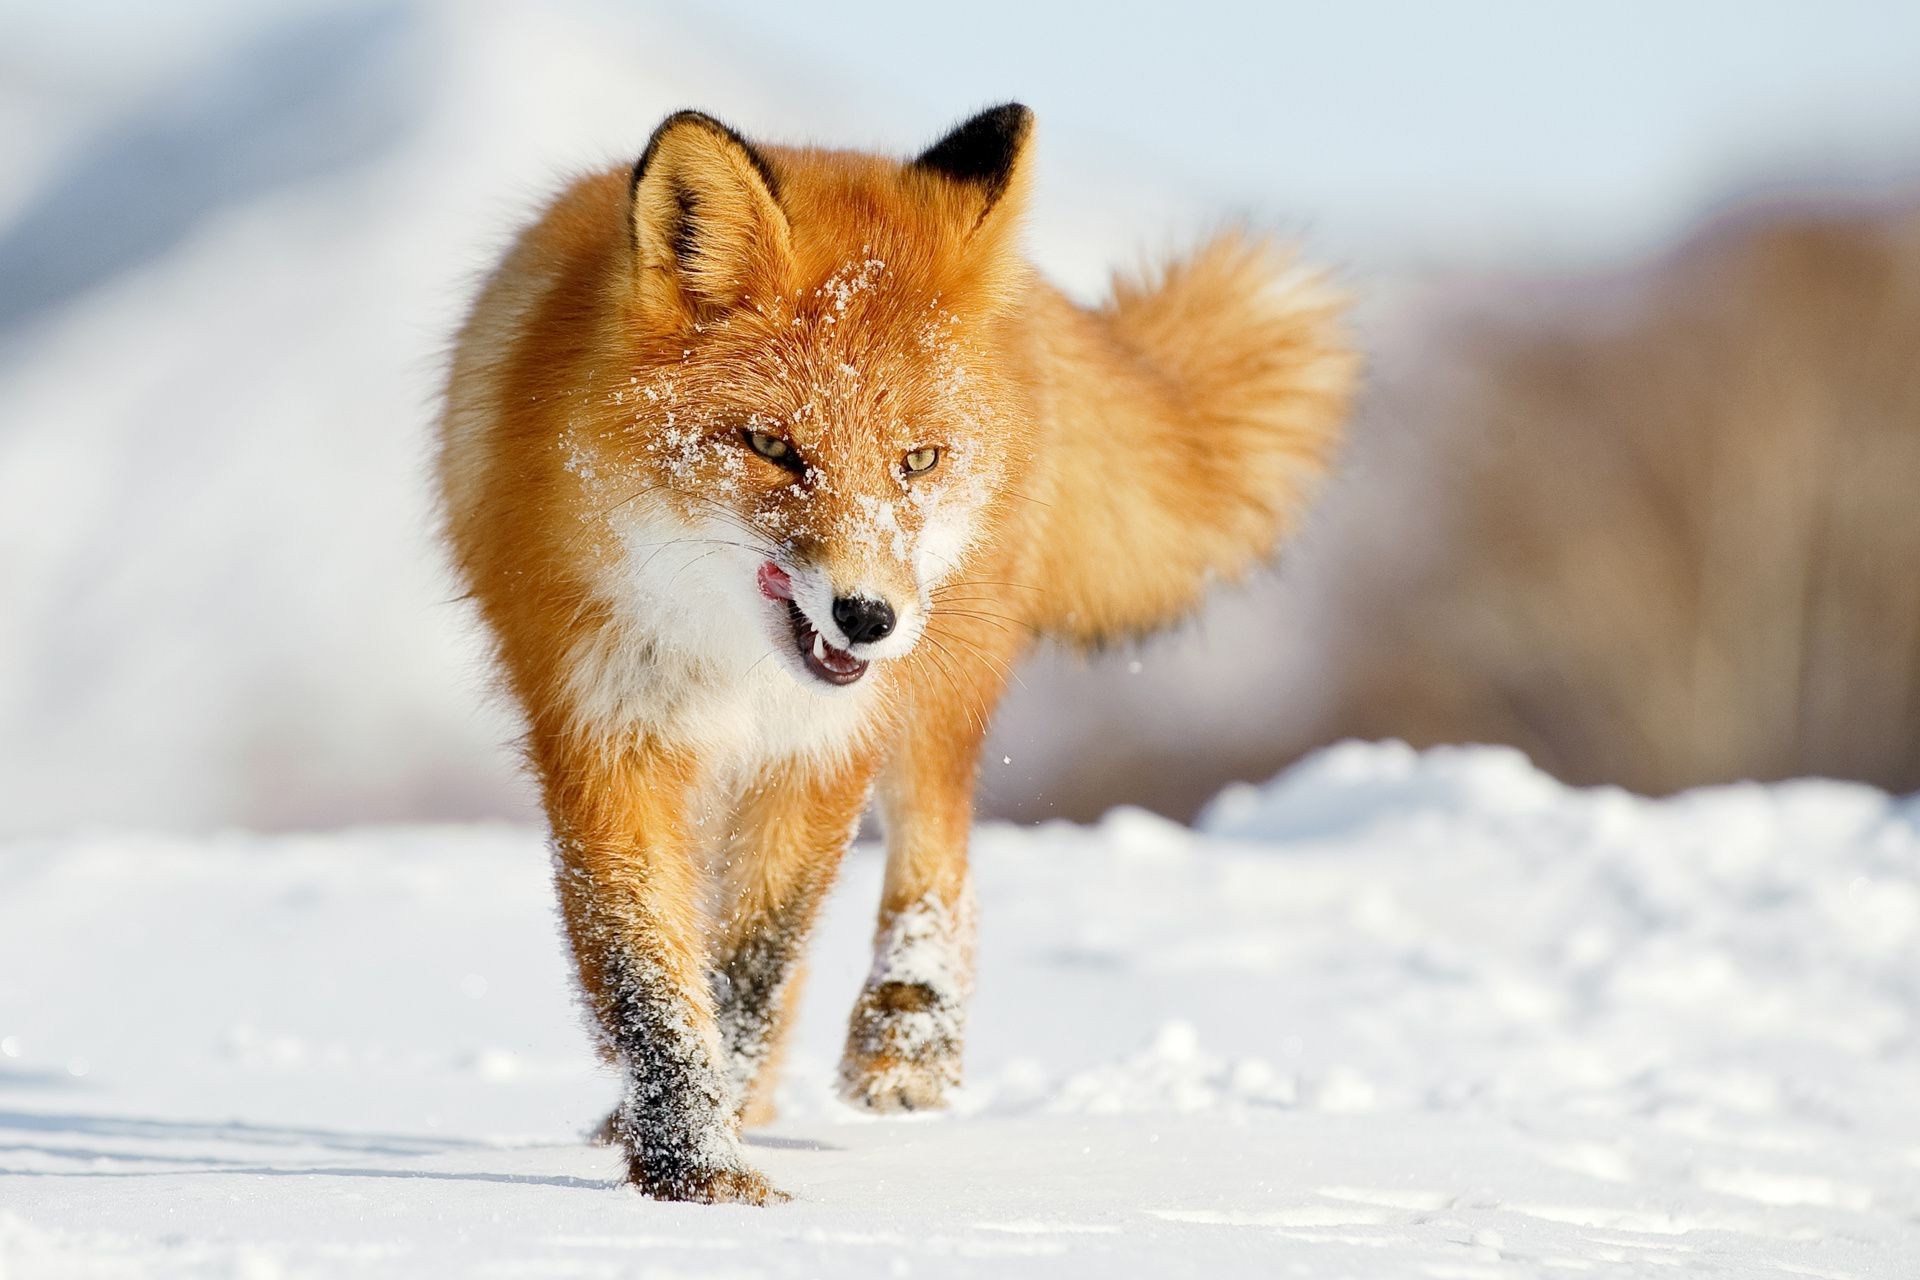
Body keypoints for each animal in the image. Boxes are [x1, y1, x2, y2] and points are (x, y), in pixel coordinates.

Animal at [441, 102, 1359, 1205]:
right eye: (773, 446)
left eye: (915, 459)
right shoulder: (604, 733)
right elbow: (652, 975)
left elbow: (752, 964)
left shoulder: (822, 748)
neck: (731, 666)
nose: (867, 616)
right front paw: (694, 1163)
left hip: (940, 684)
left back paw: (906, 1040)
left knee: (939, 855)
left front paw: (704, 1153)